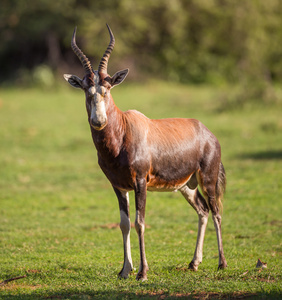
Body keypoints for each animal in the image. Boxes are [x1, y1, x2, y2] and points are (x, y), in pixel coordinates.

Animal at [63, 24, 227, 280]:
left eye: (107, 88)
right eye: (86, 90)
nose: (98, 121)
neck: (124, 130)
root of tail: (207, 132)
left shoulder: (140, 182)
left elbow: (140, 223)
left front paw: (142, 272)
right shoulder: (118, 186)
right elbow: (124, 224)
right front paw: (124, 270)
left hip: (208, 179)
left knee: (216, 210)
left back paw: (221, 263)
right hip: (186, 185)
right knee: (202, 210)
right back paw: (194, 263)